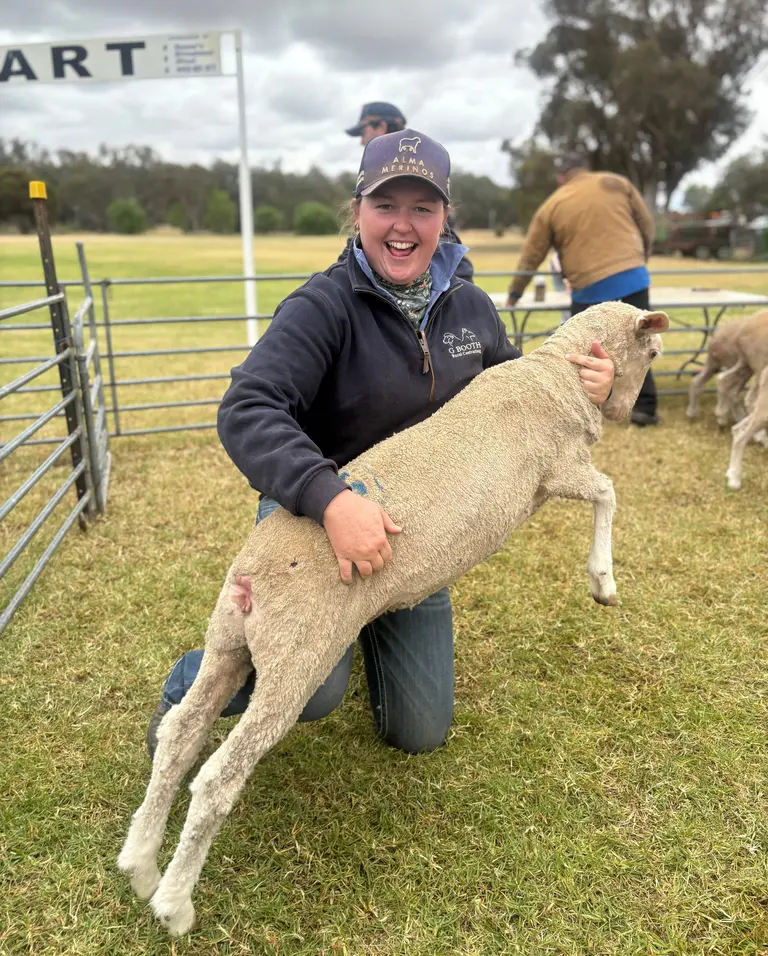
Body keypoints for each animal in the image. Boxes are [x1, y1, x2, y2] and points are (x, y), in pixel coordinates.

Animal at [117, 301, 668, 936]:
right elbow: (607, 491)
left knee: (183, 731)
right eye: (653, 353)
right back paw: (174, 901)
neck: (558, 376)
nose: (628, 412)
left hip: (232, 640)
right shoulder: (559, 469)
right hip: (298, 658)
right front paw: (603, 582)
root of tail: (252, 580)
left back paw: (140, 861)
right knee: (217, 777)